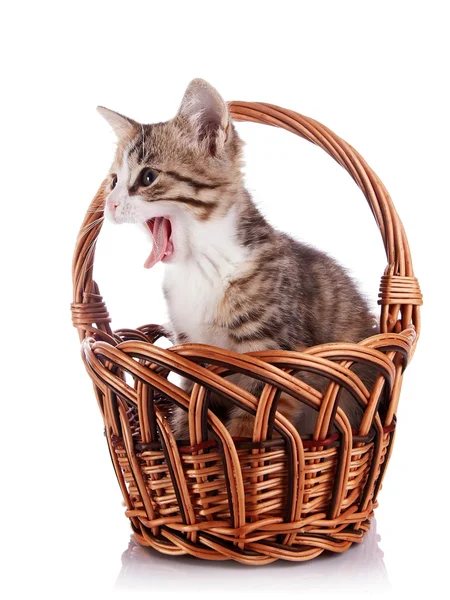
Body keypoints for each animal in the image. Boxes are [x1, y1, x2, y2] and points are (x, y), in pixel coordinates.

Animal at [99, 77, 380, 438]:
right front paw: (187, 441)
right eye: (113, 181)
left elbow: (249, 429)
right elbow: (190, 411)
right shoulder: (191, 354)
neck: (200, 265)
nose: (110, 205)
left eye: (148, 177)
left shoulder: (274, 358)